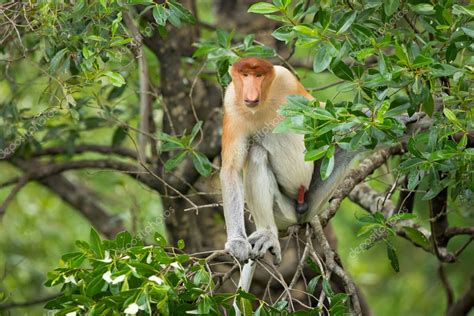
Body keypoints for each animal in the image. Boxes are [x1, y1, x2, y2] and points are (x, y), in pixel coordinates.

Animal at [220, 56, 358, 266]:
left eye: (258, 75)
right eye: (245, 75)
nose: (251, 93)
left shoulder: (286, 79)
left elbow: (320, 109)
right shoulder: (231, 103)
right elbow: (231, 169)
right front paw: (237, 242)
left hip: (314, 199)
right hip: (284, 212)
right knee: (256, 153)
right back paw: (268, 235)